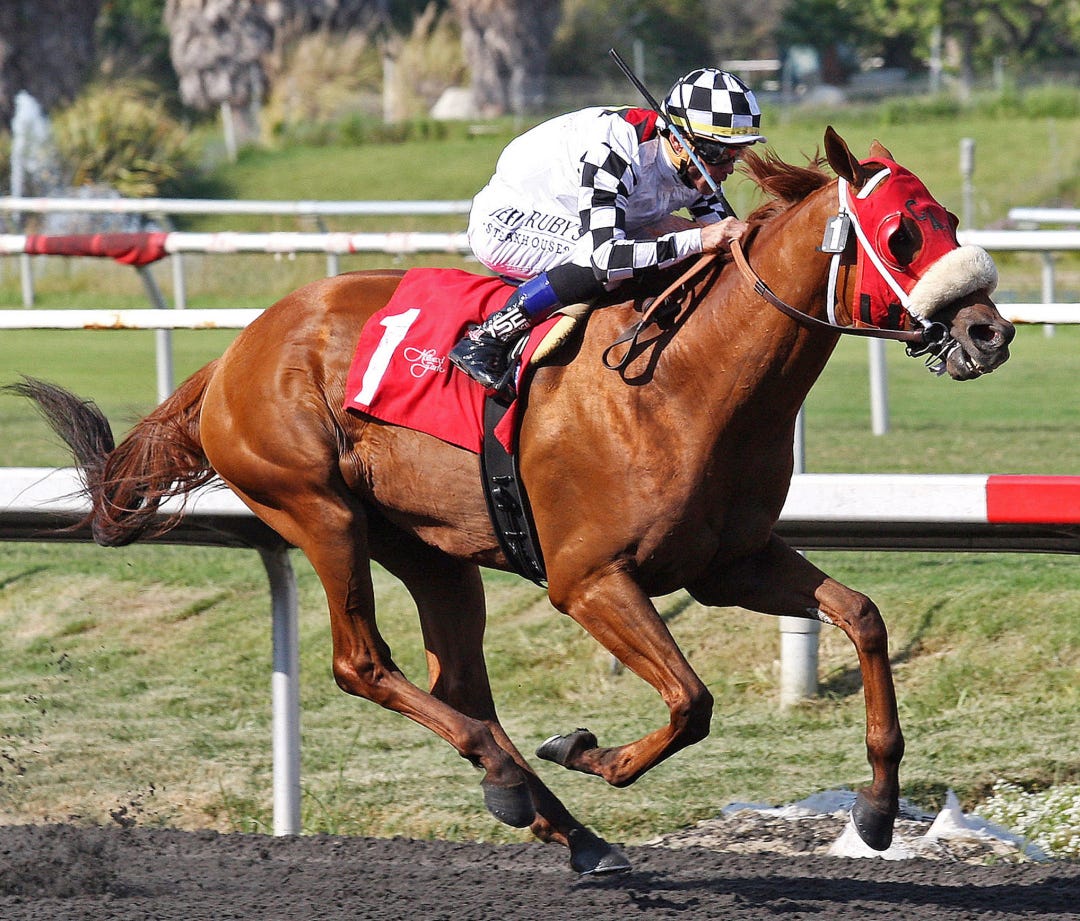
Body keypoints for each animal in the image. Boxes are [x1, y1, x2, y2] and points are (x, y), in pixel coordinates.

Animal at [7, 128, 1014, 874]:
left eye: (949, 217)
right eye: (904, 234)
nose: (988, 332)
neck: (684, 381)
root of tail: (236, 351)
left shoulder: (730, 561)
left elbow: (864, 615)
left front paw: (878, 809)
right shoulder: (589, 577)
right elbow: (691, 701)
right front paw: (591, 750)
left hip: (431, 550)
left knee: (460, 685)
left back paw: (563, 823)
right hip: (318, 509)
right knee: (362, 662)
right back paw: (517, 779)